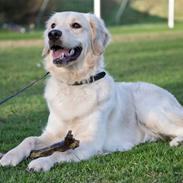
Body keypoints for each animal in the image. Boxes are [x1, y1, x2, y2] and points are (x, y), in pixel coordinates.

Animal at [1, 11, 183, 172]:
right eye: (53, 25)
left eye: (76, 25)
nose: (53, 34)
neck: (74, 83)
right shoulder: (52, 134)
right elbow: (29, 139)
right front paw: (10, 155)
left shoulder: (90, 142)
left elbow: (63, 152)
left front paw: (41, 162)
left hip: (151, 112)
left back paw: (177, 142)